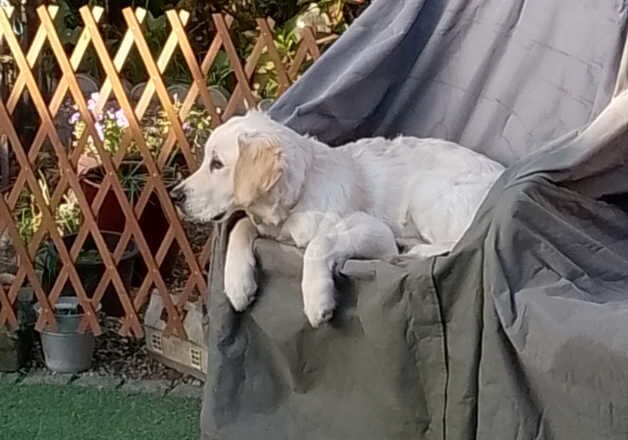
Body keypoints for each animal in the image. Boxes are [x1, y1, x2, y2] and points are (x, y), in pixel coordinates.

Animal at [169, 112, 502, 326]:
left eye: (217, 164)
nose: (175, 195)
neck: (300, 195)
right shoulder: (272, 227)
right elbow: (241, 225)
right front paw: (238, 284)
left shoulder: (376, 232)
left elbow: (320, 242)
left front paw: (317, 299)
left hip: (427, 190)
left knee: (460, 237)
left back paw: (417, 250)